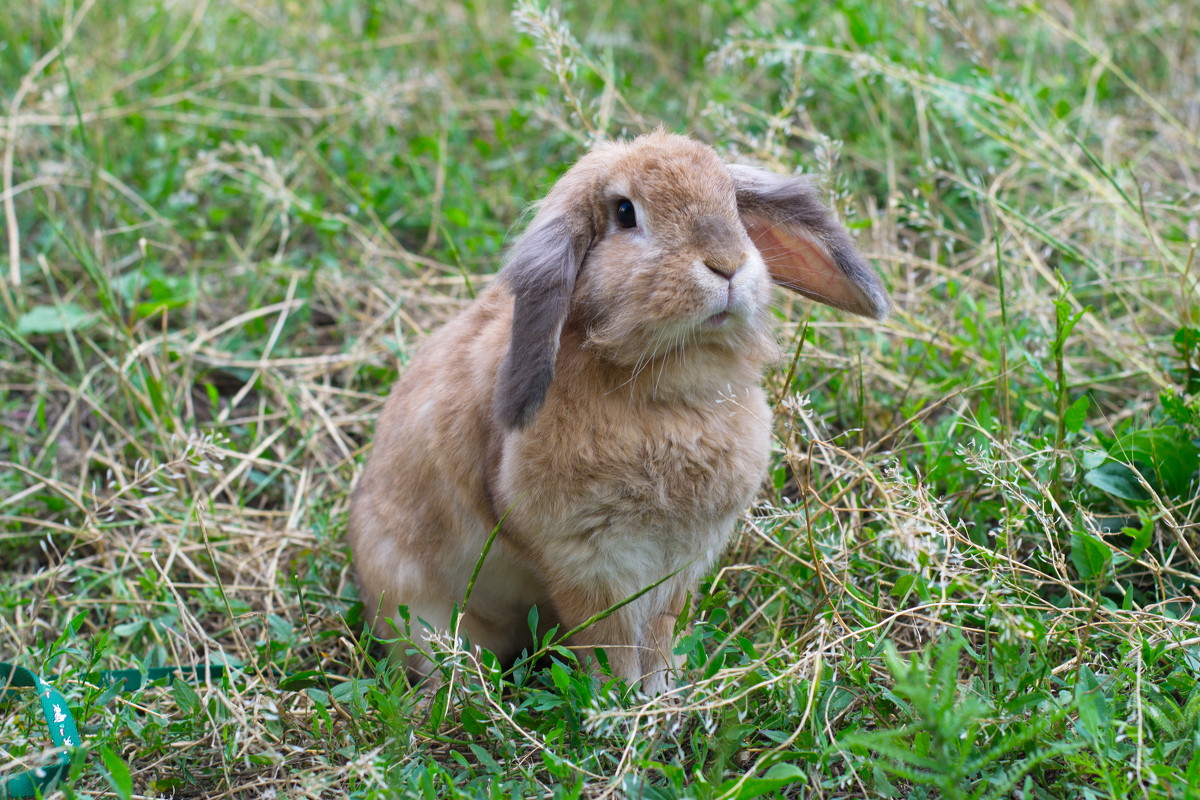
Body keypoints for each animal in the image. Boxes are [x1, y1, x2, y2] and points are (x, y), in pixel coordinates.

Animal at [343, 131, 888, 695]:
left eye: (733, 204)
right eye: (625, 212)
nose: (727, 264)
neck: (667, 393)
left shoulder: (677, 563)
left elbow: (659, 635)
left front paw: (663, 693)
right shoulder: (589, 563)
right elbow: (613, 642)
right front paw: (621, 701)